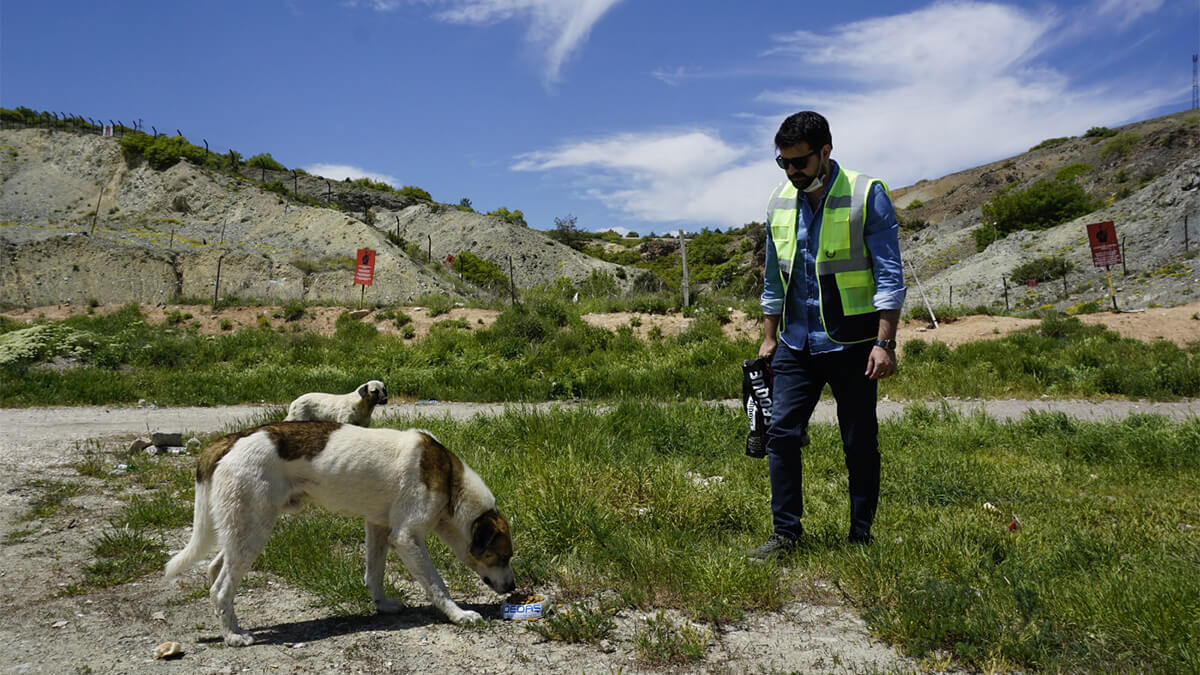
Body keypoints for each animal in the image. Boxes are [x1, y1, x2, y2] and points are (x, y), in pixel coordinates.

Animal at [163, 417, 511, 643]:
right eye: (501, 556)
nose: (513, 587)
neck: (451, 482)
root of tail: (232, 438)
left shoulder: (379, 527)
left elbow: (374, 573)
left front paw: (382, 605)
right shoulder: (407, 538)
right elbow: (438, 586)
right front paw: (459, 615)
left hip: (241, 530)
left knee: (215, 570)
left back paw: (228, 623)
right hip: (253, 532)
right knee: (221, 587)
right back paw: (234, 635)